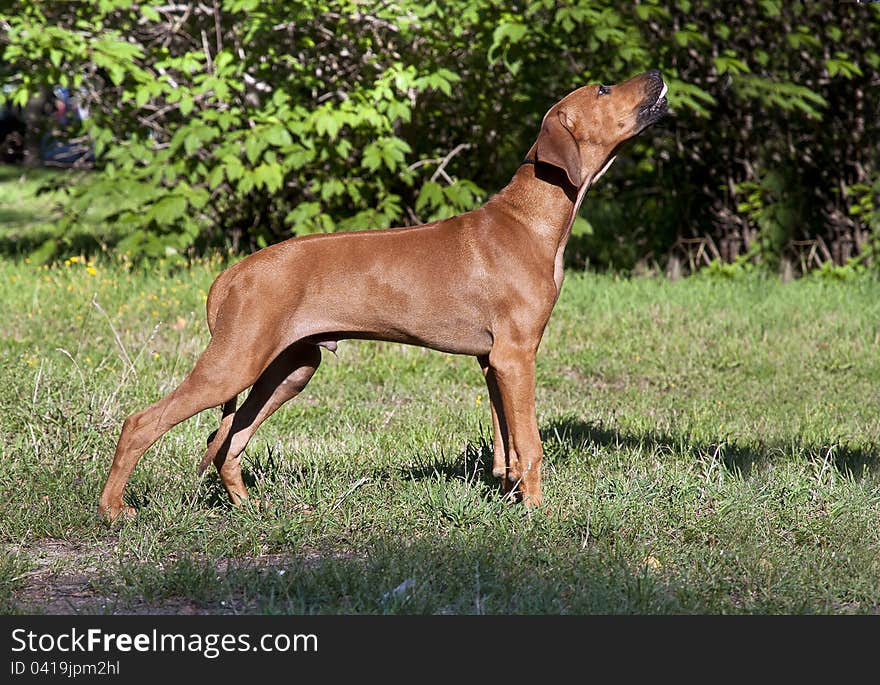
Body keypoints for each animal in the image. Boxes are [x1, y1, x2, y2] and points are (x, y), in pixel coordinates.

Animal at [99, 71, 668, 520]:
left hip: (292, 366)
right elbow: (529, 442)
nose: (658, 73)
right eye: (604, 88)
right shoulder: (516, 356)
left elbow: (505, 443)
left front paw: (510, 500)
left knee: (229, 439)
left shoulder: (494, 362)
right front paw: (537, 512)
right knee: (143, 423)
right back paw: (113, 509)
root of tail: (233, 272)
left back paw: (247, 507)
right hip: (234, 363)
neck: (528, 220)